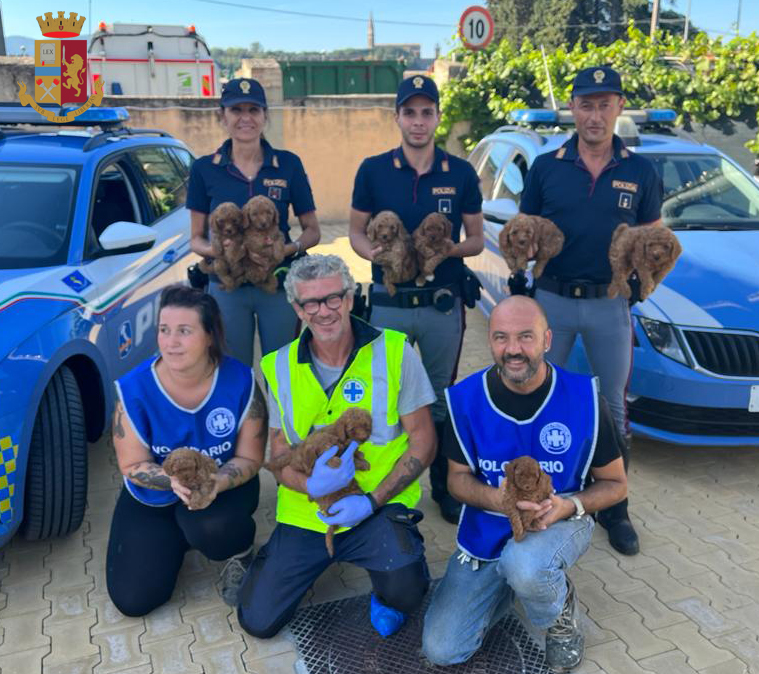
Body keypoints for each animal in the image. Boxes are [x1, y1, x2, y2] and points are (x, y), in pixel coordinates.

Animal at [268, 406, 374, 552]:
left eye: (366, 425)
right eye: (352, 429)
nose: (364, 438)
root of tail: (293, 454)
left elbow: (355, 453)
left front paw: (361, 455)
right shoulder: (341, 450)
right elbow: (353, 459)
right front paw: (363, 464)